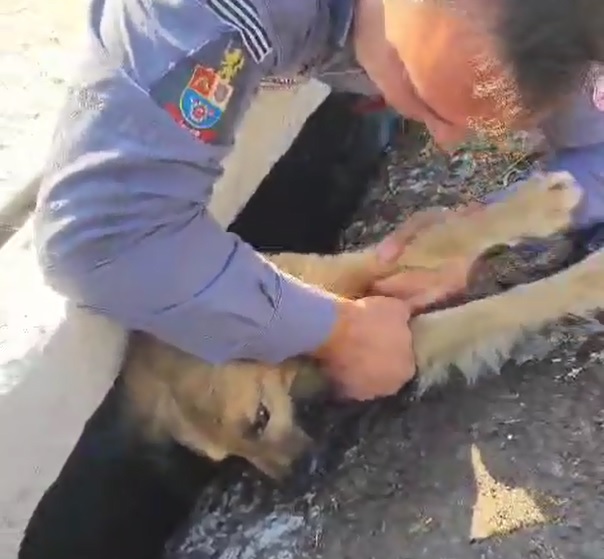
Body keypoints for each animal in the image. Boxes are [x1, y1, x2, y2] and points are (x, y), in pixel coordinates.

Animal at [121, 173, 584, 480]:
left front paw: (537, 208)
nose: (297, 481)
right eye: (228, 457)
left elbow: (439, 242)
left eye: (260, 418)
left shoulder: (350, 274)